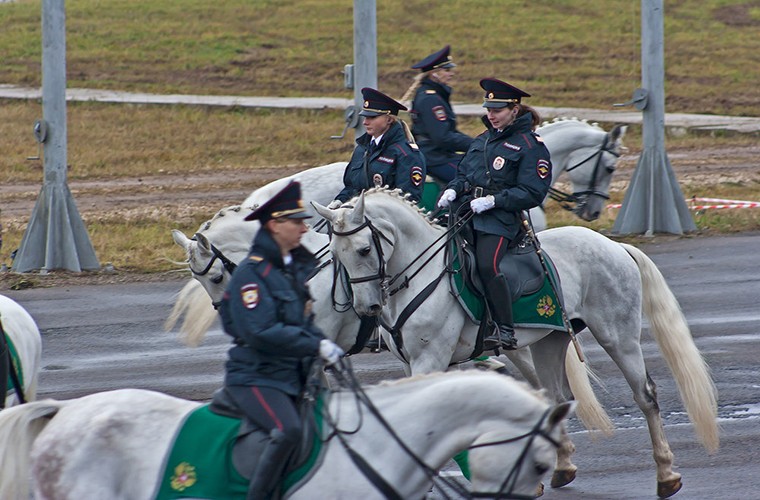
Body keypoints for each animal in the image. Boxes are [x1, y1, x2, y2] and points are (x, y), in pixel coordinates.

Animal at [312, 188, 720, 500]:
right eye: (335, 253)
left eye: (364, 250)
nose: (366, 308)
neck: (418, 275)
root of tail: (615, 246)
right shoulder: (410, 362)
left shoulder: (431, 359)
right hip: (549, 341)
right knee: (555, 399)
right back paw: (559, 469)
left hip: (618, 337)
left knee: (645, 396)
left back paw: (666, 475)